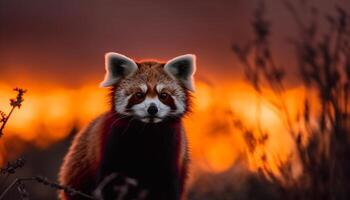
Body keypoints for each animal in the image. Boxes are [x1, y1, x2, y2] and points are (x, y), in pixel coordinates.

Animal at [59, 52, 197, 199]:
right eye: (139, 95)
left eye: (163, 95)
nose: (152, 109)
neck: (148, 131)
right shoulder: (111, 143)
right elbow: (109, 180)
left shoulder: (172, 150)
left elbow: (168, 186)